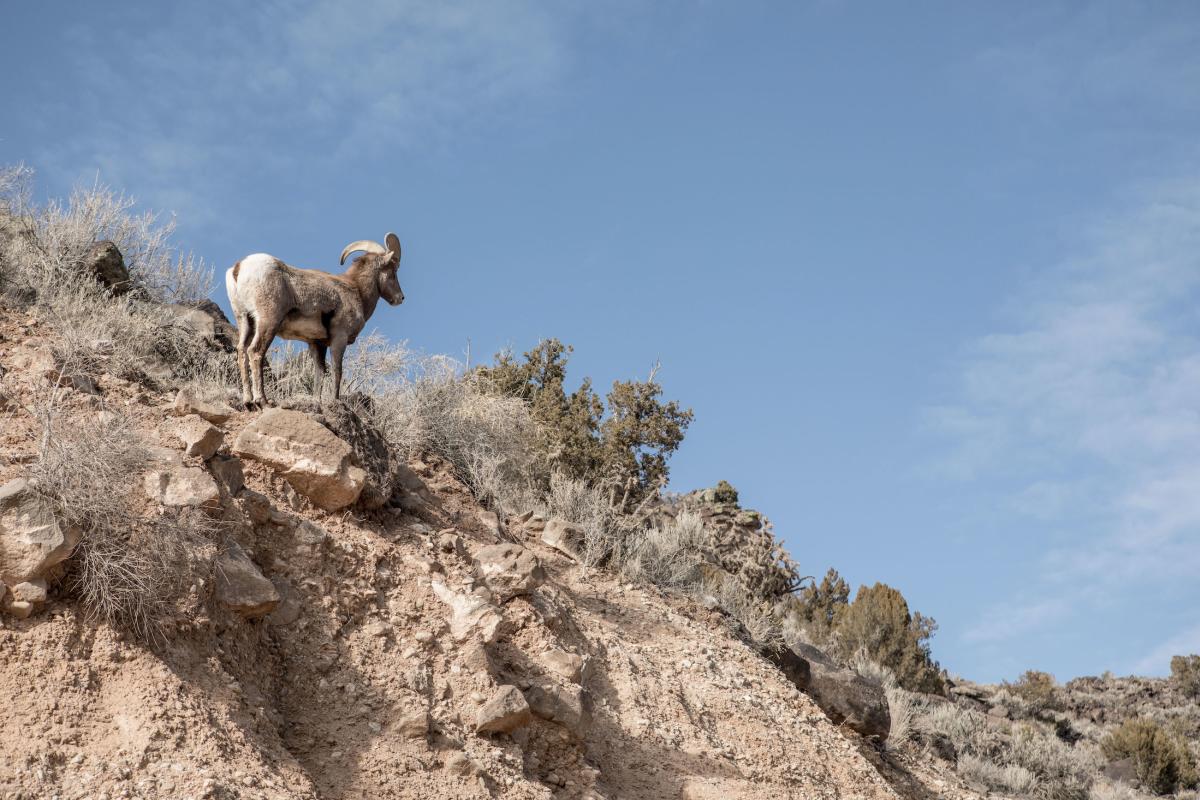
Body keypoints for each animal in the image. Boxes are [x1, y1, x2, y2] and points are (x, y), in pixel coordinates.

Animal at [225, 231, 408, 407]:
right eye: (393, 271)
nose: (400, 298)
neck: (357, 291)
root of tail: (239, 268)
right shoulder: (339, 338)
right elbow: (336, 371)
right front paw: (335, 400)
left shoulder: (316, 344)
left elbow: (320, 374)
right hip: (268, 322)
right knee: (255, 352)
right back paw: (262, 400)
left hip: (245, 320)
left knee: (242, 351)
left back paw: (247, 401)